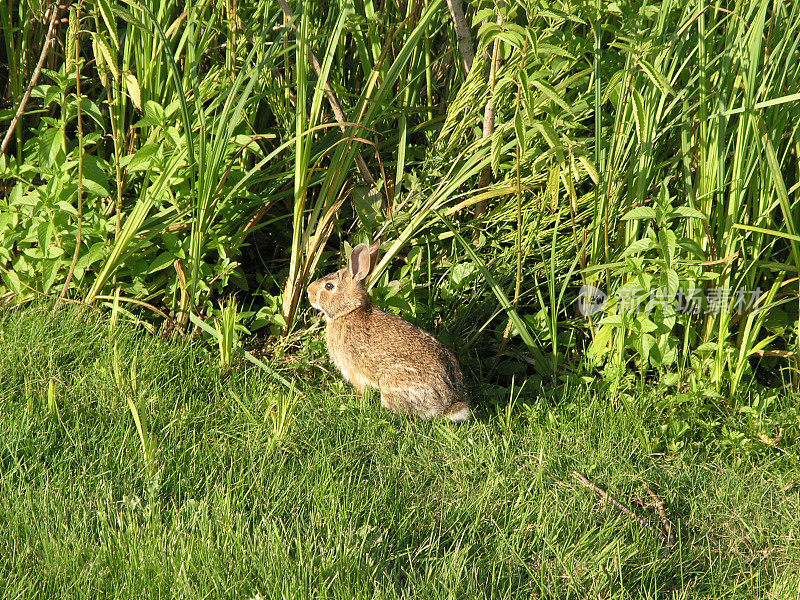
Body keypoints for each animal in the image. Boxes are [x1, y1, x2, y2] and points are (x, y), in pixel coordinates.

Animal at [306, 240, 468, 422]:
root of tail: (448, 404)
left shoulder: (353, 370)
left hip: (392, 383)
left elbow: (360, 390)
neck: (349, 311)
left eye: (329, 286)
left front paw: (357, 402)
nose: (308, 291)